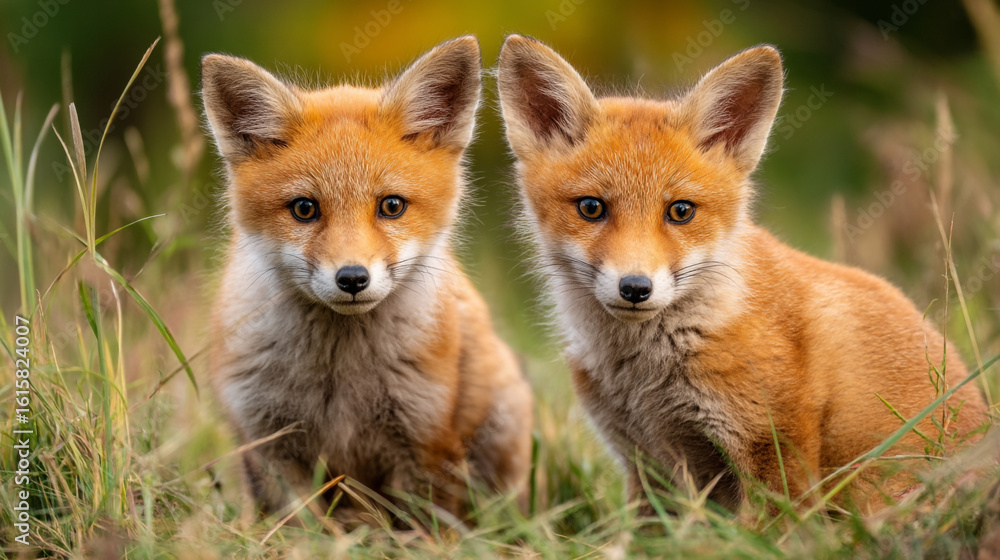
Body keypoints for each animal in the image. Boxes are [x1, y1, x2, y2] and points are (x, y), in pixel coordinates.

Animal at [202, 36, 533, 521]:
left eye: (391, 206)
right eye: (304, 209)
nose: (353, 278)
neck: (338, 375)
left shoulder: (426, 441)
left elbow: (426, 529)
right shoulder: (267, 441)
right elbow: (299, 527)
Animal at [496, 35, 989, 514]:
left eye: (680, 211)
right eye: (591, 207)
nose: (635, 288)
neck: (646, 377)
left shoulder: (774, 455)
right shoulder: (648, 468)